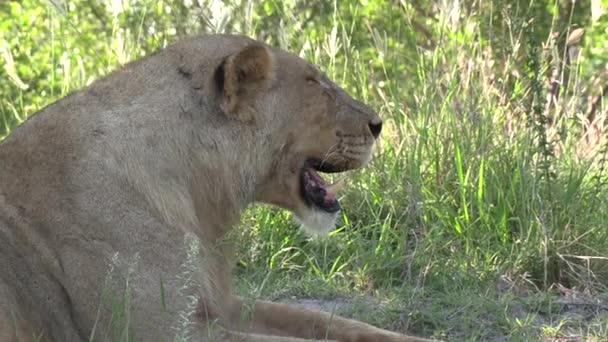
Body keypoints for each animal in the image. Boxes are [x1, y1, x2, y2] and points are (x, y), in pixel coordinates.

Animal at [0, 32, 436, 342]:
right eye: (315, 83)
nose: (378, 125)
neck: (199, 197)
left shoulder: (221, 305)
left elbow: (327, 321)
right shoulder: (154, 330)